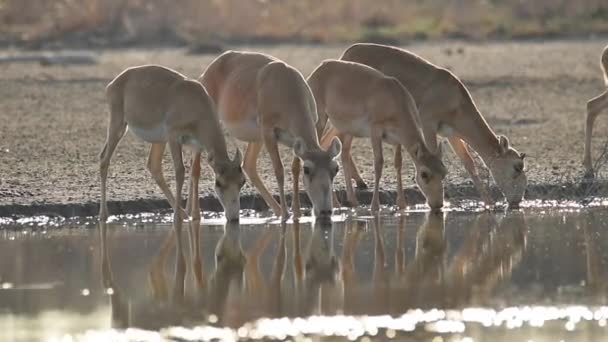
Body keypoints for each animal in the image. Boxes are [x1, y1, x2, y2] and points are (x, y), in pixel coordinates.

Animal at [200, 51, 342, 222]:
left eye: (335, 168)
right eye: (308, 169)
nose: (325, 211)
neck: (285, 85)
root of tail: (210, 69)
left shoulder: (294, 141)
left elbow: (294, 169)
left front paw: (297, 213)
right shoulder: (269, 133)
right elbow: (279, 170)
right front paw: (286, 215)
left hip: (257, 139)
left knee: (249, 164)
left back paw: (277, 210)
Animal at [308, 58, 446, 211]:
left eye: (443, 172)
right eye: (424, 174)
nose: (438, 204)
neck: (395, 99)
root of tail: (320, 68)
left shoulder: (397, 139)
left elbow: (398, 163)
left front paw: (402, 204)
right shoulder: (375, 132)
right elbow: (378, 163)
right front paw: (375, 206)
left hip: (348, 130)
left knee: (344, 153)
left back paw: (352, 201)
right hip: (320, 119)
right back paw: (337, 203)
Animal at [324, 43, 528, 207]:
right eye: (517, 166)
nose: (517, 201)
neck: (454, 98)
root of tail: (346, 54)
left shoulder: (452, 134)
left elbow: (469, 163)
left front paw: (489, 203)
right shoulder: (429, 126)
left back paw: (358, 184)